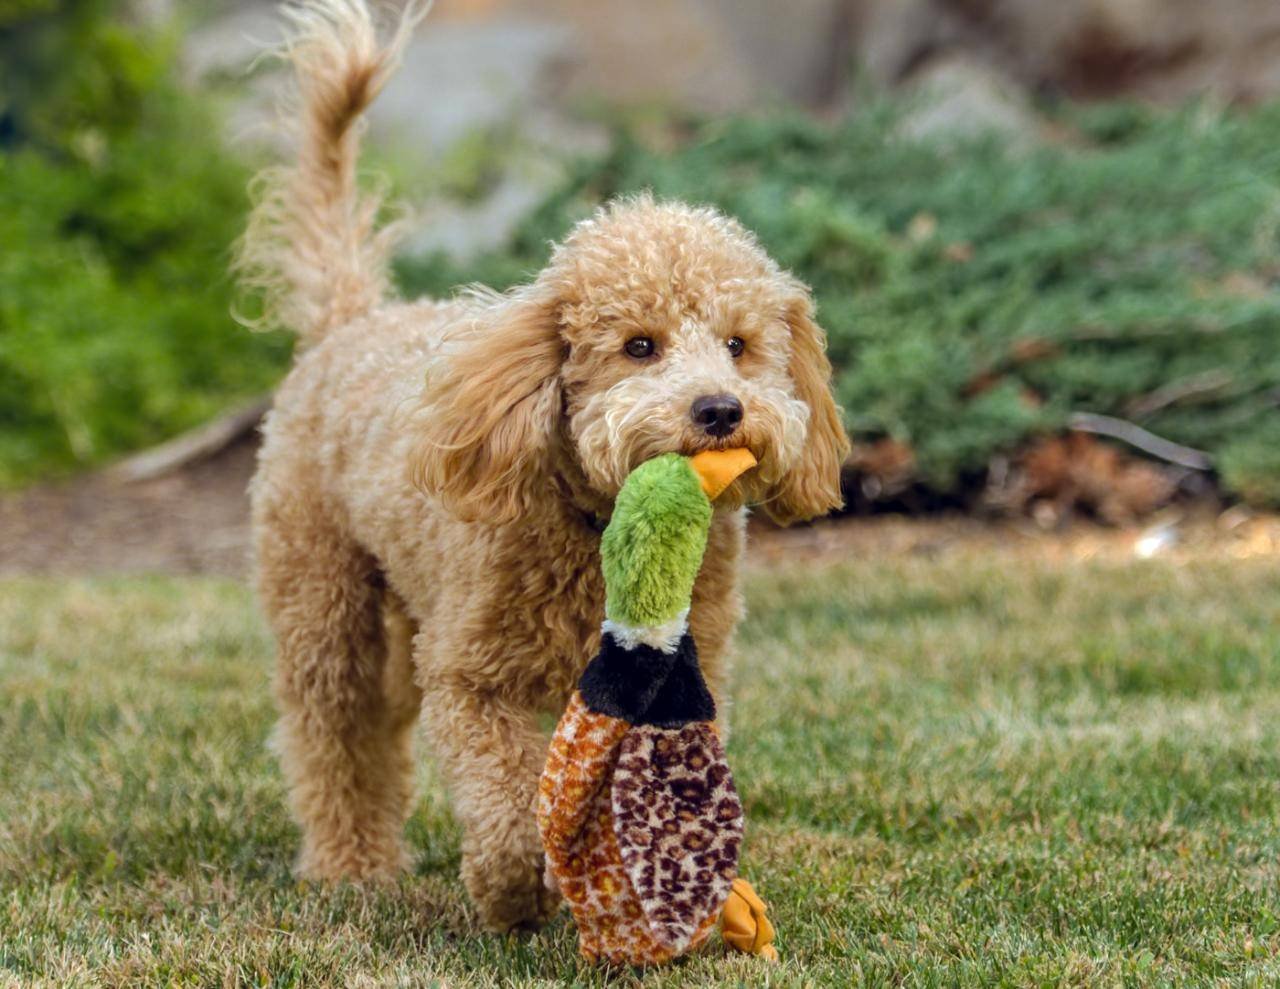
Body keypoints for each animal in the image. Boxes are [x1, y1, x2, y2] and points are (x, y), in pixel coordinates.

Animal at [239, 0, 849, 931]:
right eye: (639, 346)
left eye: (740, 346)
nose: (719, 409)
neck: (598, 529)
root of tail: (352, 322)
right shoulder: (470, 677)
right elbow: (503, 800)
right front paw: (516, 888)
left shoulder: (678, 676)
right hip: (322, 596)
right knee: (333, 733)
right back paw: (350, 866)